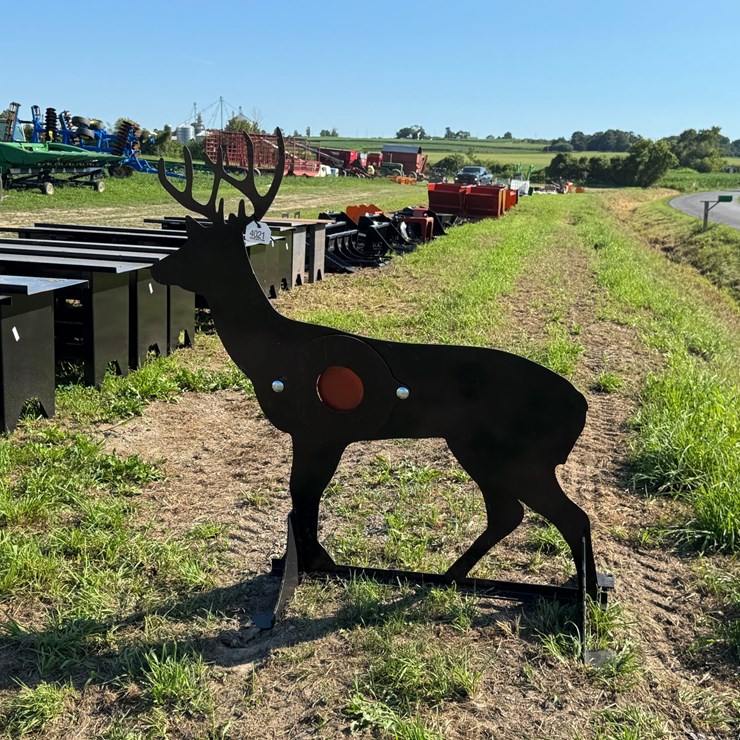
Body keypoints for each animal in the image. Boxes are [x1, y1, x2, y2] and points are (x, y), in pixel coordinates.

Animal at [152, 130, 600, 625]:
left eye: (197, 249)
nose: (156, 268)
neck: (270, 351)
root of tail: (579, 407)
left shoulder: (317, 430)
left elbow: (302, 495)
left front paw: (310, 566)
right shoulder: (321, 435)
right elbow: (304, 498)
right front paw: (309, 562)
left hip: (512, 452)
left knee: (568, 517)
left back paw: (579, 603)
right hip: (487, 450)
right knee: (512, 514)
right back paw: (456, 577)